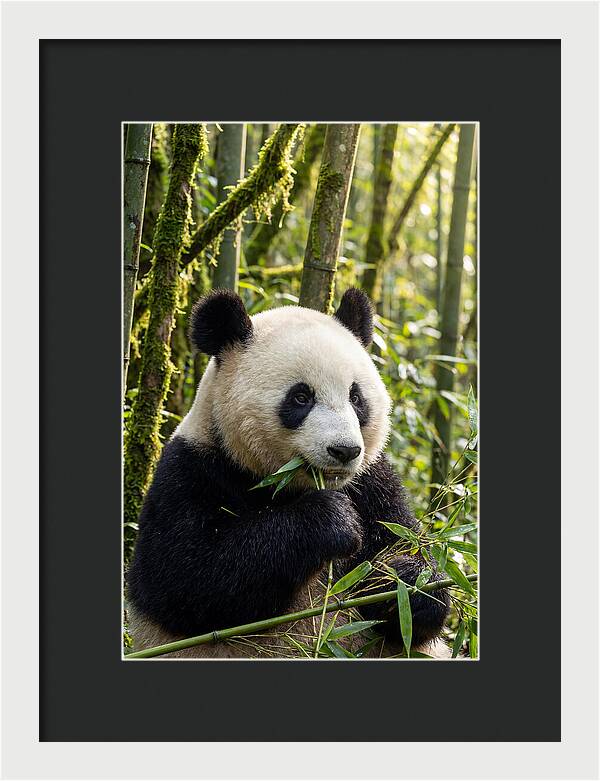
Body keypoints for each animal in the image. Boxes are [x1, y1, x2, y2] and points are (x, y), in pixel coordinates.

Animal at [127, 288, 450, 658]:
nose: (344, 451)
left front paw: (404, 581)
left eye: (356, 397)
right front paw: (332, 521)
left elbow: (410, 562)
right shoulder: (190, 472)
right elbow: (188, 579)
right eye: (300, 397)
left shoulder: (373, 483)